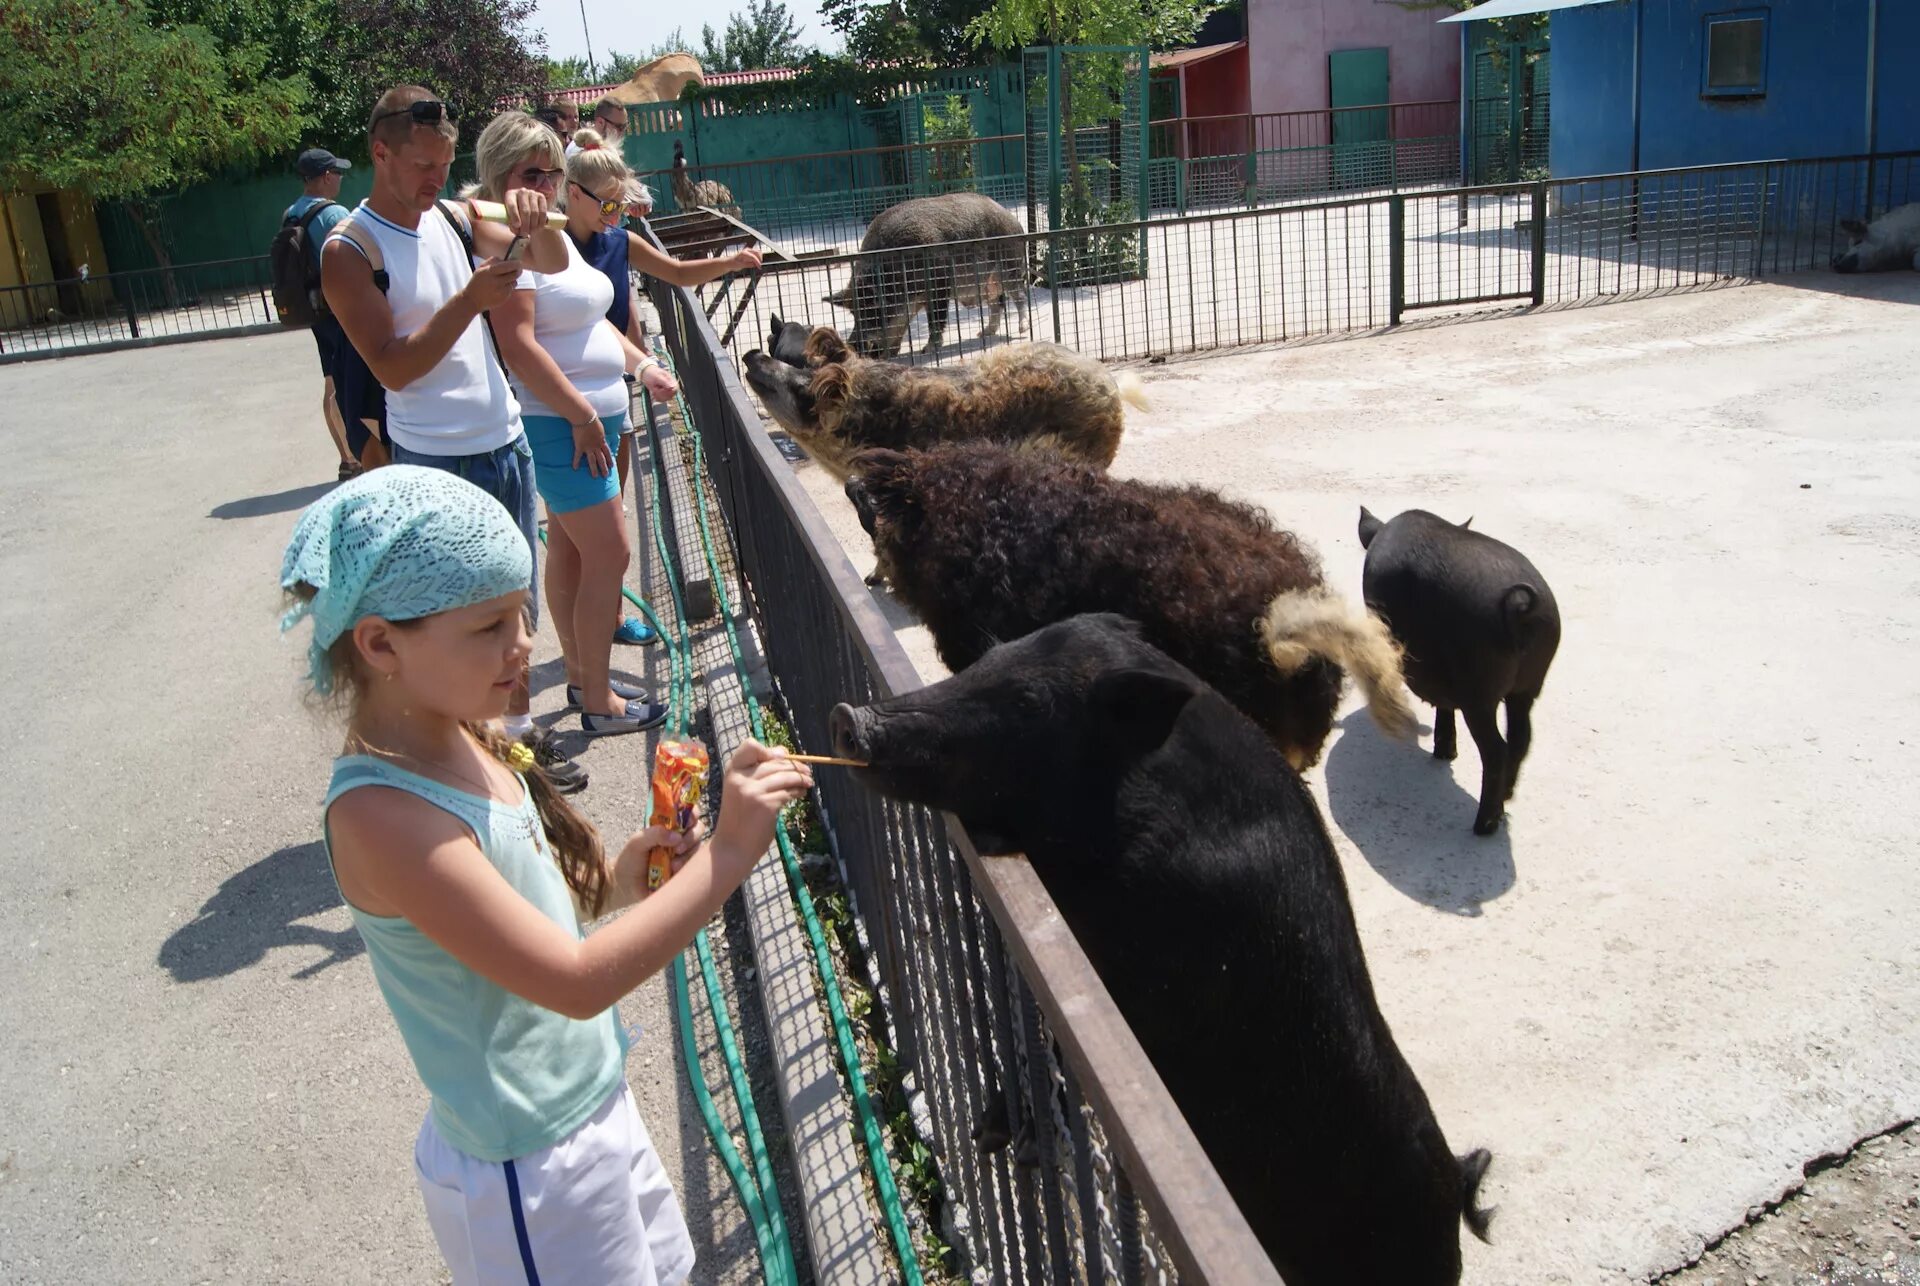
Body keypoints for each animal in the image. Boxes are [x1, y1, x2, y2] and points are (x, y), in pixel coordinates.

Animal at [825, 189, 1036, 357]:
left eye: (872, 314)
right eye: (854, 314)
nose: (853, 346)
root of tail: (1015, 221)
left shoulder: (939, 286)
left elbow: (935, 319)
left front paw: (926, 350)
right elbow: (903, 324)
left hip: (1010, 266)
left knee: (1019, 296)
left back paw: (1022, 329)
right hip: (988, 284)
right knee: (997, 303)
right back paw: (984, 333)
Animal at [833, 618, 1489, 1286]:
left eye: (1030, 702)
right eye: (989, 659)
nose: (849, 717)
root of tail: (1457, 1185)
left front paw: (1011, 1142)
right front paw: (988, 1135)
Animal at [1351, 510, 1559, 840]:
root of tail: (1520, 608)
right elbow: (1444, 705)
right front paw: (1444, 754)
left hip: (1480, 690)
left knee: (1496, 749)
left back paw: (1484, 826)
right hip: (1531, 682)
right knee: (1521, 737)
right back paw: (1506, 798)